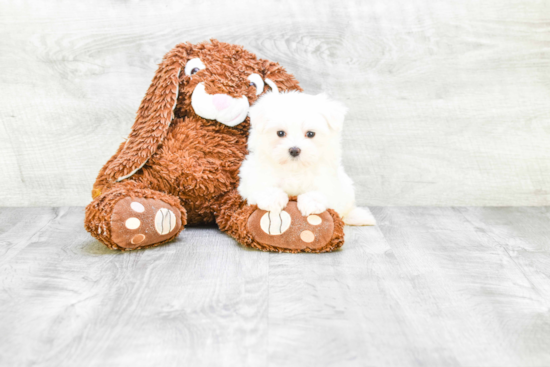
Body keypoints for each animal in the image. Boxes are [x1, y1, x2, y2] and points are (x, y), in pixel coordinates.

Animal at [239, 90, 378, 226]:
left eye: (311, 134)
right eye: (280, 133)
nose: (294, 150)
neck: (294, 169)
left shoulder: (328, 178)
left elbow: (323, 190)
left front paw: (311, 203)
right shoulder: (254, 174)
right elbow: (261, 184)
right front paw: (272, 198)